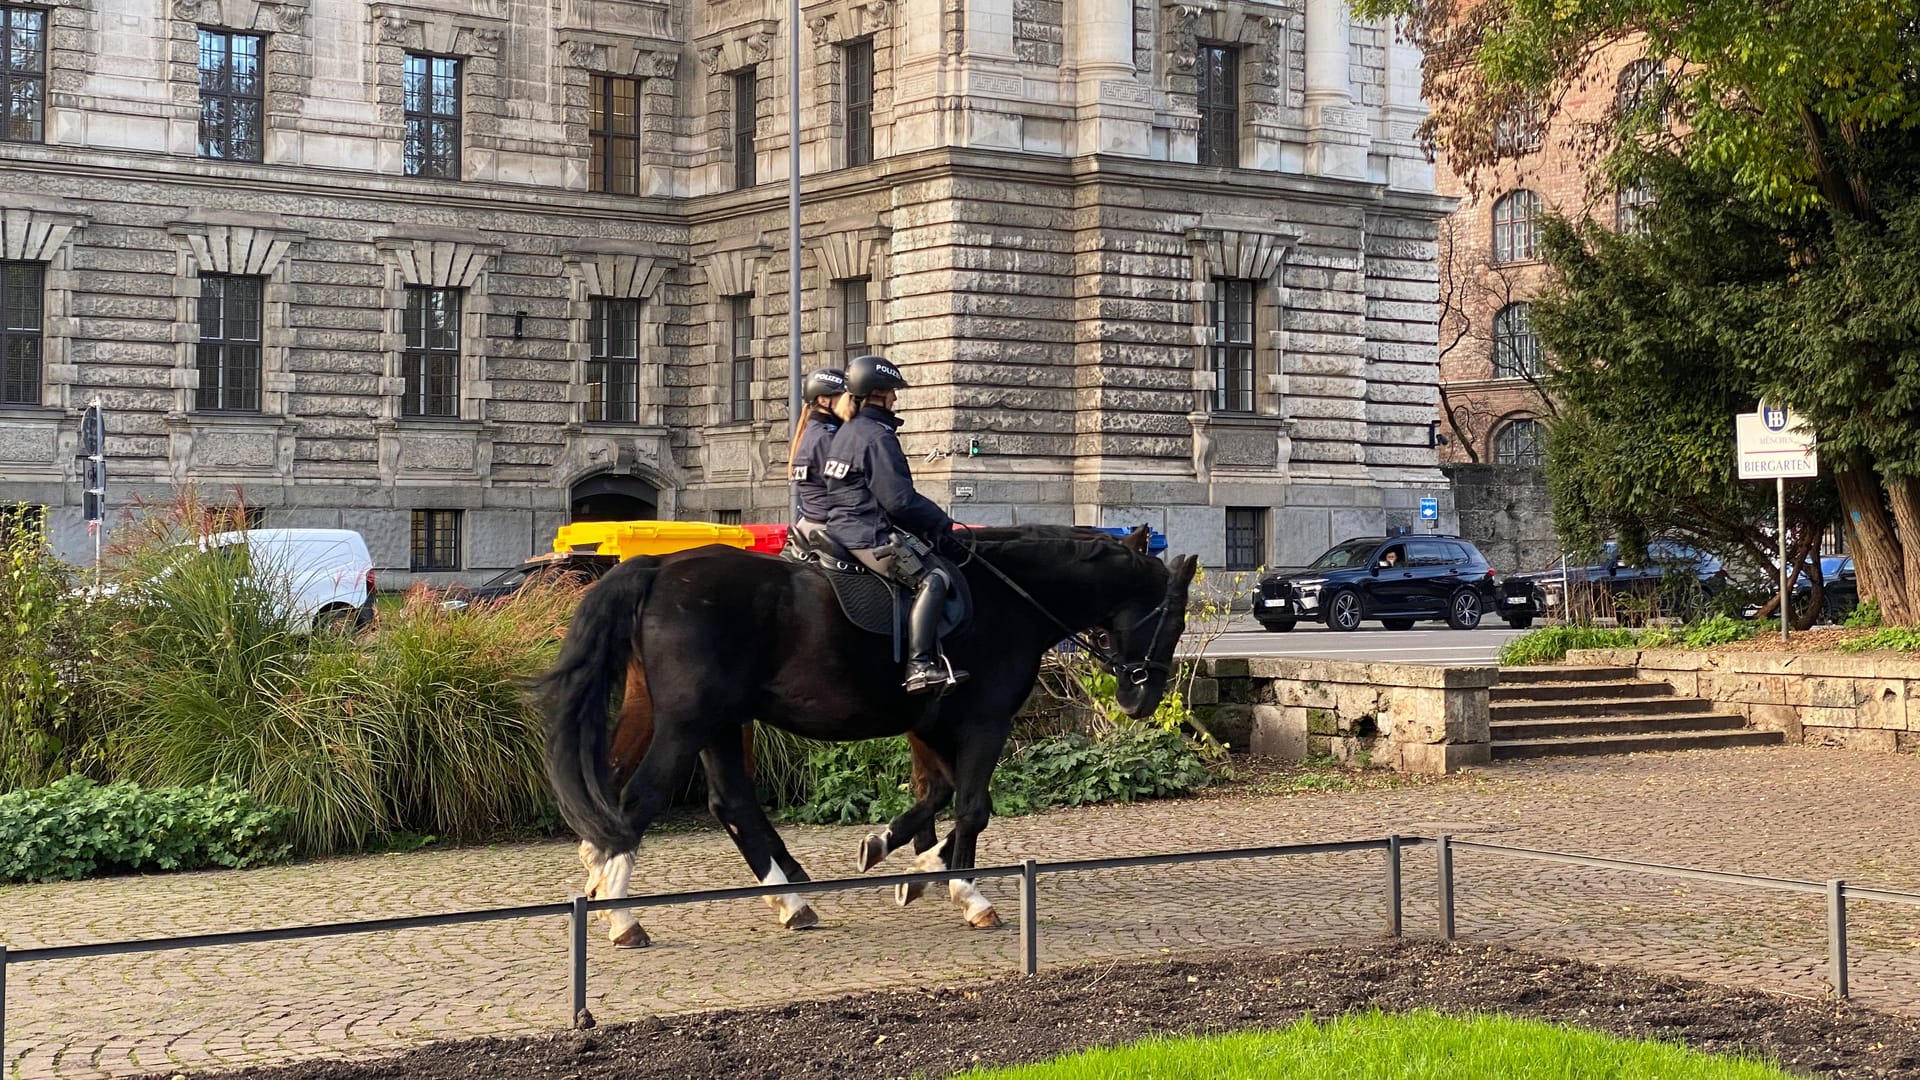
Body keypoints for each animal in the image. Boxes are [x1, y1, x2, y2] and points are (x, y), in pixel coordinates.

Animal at [541, 522, 1190, 941]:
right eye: (1174, 618)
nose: (1141, 698)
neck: (1010, 597)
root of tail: (659, 567)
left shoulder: (930, 725)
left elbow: (936, 795)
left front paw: (907, 860)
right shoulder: (983, 723)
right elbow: (971, 805)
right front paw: (962, 888)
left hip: (709, 721)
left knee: (724, 803)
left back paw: (784, 900)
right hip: (690, 721)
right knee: (643, 798)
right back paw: (624, 914)